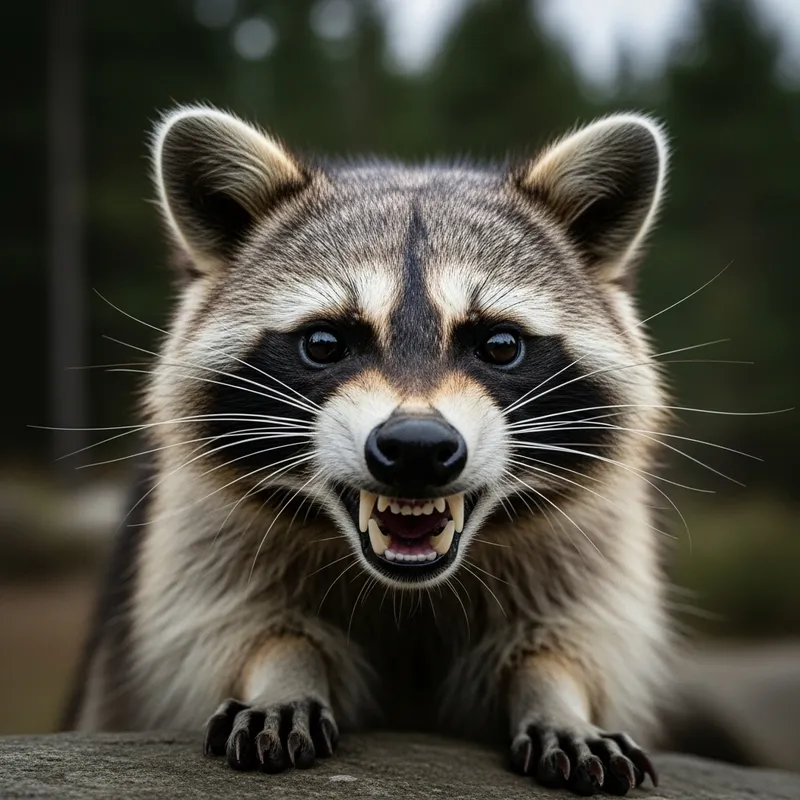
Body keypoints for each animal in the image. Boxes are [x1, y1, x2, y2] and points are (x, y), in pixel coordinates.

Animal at [67, 105, 672, 795]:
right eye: (325, 342)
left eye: (498, 345)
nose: (416, 447)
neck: (408, 591)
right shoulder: (199, 533)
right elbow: (227, 625)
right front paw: (283, 669)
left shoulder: (588, 544)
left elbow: (572, 639)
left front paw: (559, 696)